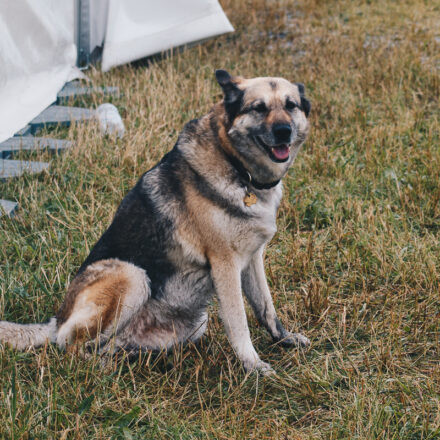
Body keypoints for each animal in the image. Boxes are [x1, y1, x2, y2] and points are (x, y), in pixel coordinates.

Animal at [0, 69, 312, 374]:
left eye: (290, 105)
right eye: (259, 108)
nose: (283, 131)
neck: (235, 164)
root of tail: (56, 321)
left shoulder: (252, 259)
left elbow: (266, 308)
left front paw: (283, 339)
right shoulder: (225, 265)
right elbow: (239, 322)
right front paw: (253, 366)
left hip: (190, 325)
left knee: (107, 345)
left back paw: (127, 360)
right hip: (132, 276)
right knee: (74, 347)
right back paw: (101, 368)